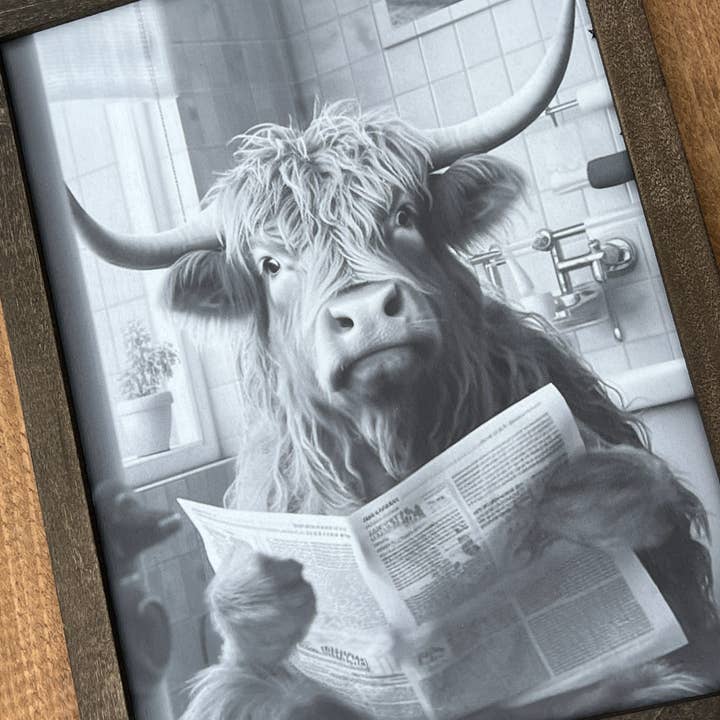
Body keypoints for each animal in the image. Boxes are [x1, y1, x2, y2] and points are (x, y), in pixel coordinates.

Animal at [69, 1, 720, 718]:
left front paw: (596, 493)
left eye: (404, 216)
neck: (398, 447)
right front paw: (257, 604)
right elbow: (251, 681)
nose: (366, 313)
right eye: (270, 264)